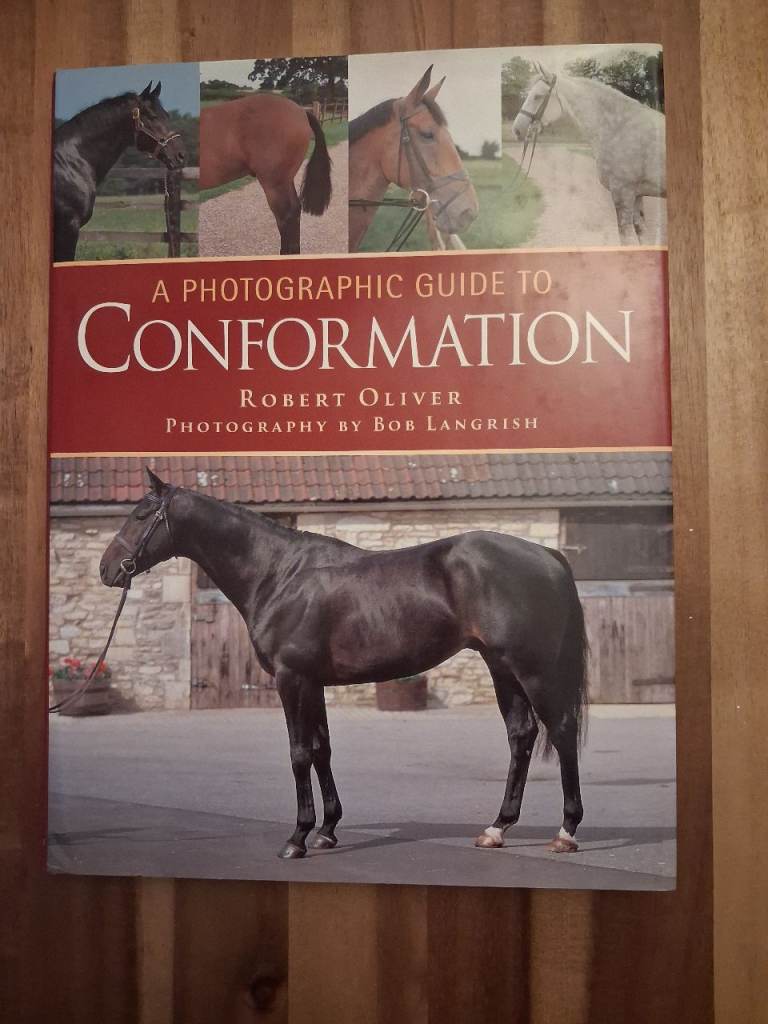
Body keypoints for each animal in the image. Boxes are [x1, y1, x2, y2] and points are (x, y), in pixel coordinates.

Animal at [99, 470, 588, 861]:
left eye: (141, 514)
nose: (107, 570)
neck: (280, 575)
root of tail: (548, 555)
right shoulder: (312, 682)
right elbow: (322, 750)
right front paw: (327, 830)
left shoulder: (291, 679)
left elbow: (299, 753)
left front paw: (297, 838)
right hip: (501, 666)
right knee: (521, 735)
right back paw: (496, 827)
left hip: (532, 668)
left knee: (561, 730)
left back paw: (566, 832)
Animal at [511, 66, 666, 245]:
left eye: (537, 96)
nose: (517, 130)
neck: (620, 127)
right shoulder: (636, 195)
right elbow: (642, 235)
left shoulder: (622, 193)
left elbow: (626, 239)